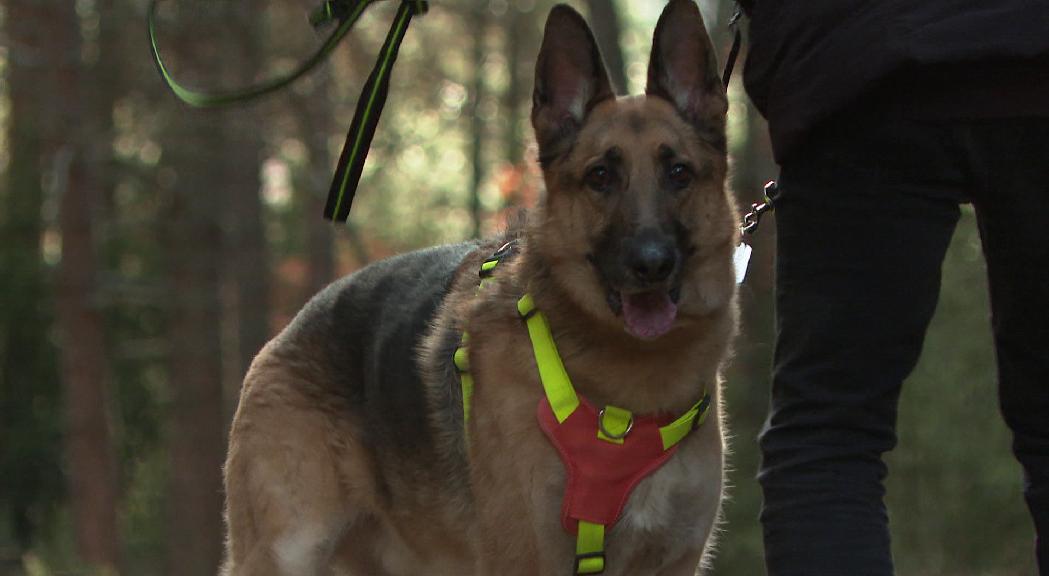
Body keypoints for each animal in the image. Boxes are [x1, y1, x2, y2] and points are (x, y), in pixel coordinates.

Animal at [224, 2, 738, 570]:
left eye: (679, 173)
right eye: (600, 177)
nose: (651, 264)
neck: (627, 395)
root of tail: (287, 331)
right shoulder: (528, 559)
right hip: (287, 554)